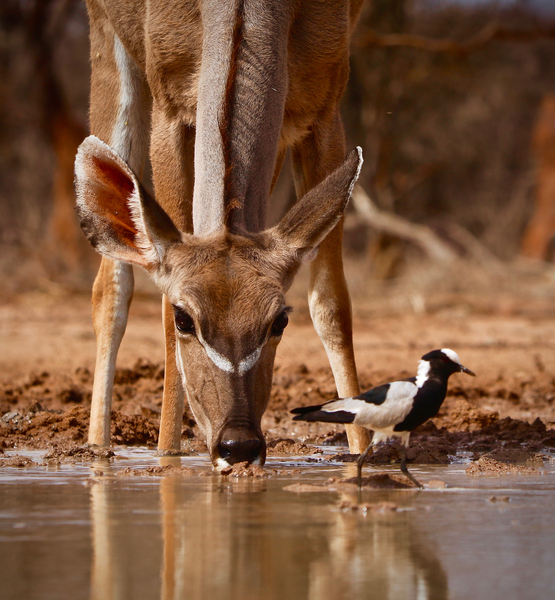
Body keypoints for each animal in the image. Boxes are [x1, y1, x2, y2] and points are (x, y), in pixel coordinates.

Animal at [74, 0, 370, 466]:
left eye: (279, 321)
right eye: (185, 318)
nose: (238, 444)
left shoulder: (325, 103)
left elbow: (331, 305)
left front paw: (363, 455)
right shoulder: (170, 108)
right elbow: (159, 308)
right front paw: (168, 458)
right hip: (108, 46)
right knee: (111, 285)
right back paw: (98, 448)